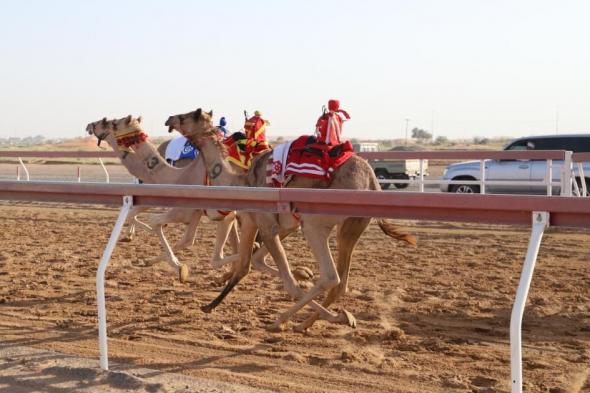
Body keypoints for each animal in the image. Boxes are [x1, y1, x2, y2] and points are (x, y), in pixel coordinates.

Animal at [84, 117, 240, 282]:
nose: (89, 125)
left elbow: (150, 221)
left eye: (108, 123)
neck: (176, 176)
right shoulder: (199, 212)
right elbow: (188, 239)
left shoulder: (185, 209)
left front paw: (177, 266)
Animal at [164, 108, 418, 330]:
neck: (240, 182)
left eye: (189, 114)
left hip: (315, 223)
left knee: (330, 277)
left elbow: (287, 282)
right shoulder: (258, 222)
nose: (169, 119)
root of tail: (373, 182)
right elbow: (247, 264)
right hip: (352, 226)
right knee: (341, 282)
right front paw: (210, 305)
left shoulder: (267, 225)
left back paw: (283, 320)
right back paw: (310, 323)